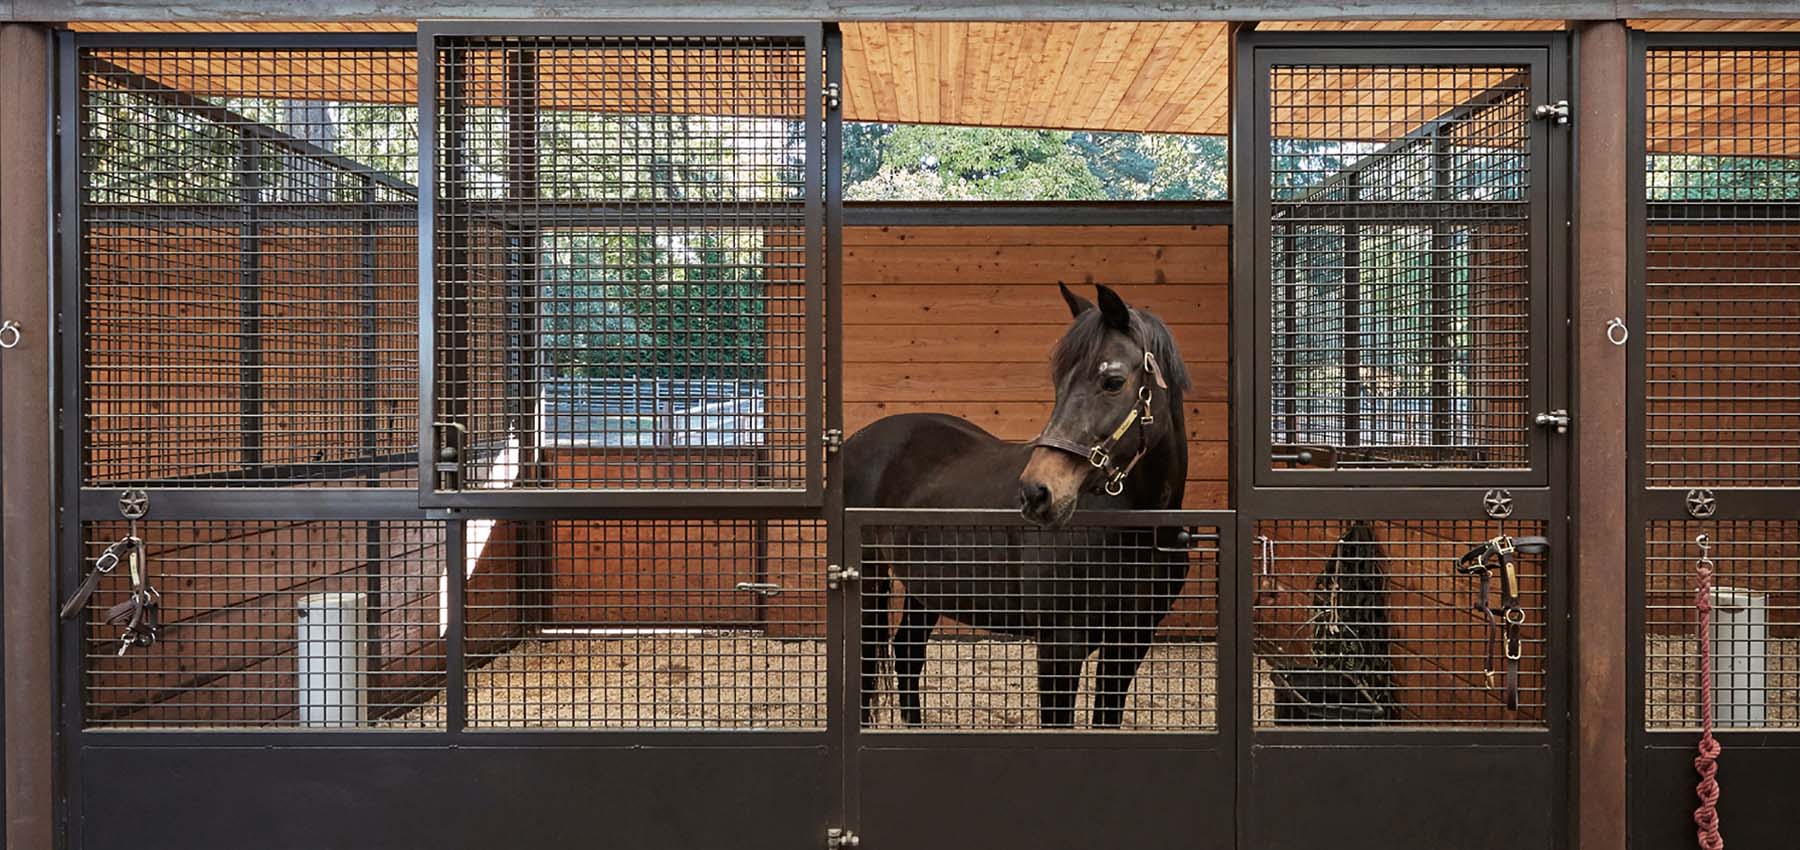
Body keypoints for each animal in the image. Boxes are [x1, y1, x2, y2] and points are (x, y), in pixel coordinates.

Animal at [842, 283, 1193, 728]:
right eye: (1058, 382)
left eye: (1113, 381)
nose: (1036, 492)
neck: (1137, 530)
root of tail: (857, 442)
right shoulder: (1060, 645)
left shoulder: (1129, 643)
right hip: (870, 581)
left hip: (927, 585)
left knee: (907, 651)